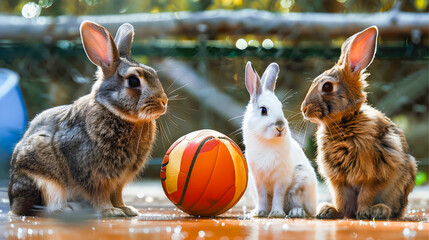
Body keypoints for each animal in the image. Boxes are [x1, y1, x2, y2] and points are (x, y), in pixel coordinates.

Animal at [7, 21, 167, 218]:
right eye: (133, 81)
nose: (164, 102)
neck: (113, 111)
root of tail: (13, 202)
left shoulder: (118, 181)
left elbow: (118, 195)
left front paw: (126, 209)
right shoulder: (93, 175)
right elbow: (100, 194)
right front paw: (110, 211)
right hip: (42, 181)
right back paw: (68, 209)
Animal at [242, 61, 316, 218]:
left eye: (281, 107)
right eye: (263, 110)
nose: (280, 126)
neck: (267, 141)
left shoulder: (281, 179)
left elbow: (278, 195)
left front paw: (276, 213)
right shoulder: (258, 180)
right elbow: (262, 196)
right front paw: (259, 213)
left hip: (301, 181)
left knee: (301, 207)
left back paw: (296, 212)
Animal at [300, 25, 414, 219]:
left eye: (327, 87)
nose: (304, 109)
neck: (345, 120)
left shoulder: (373, 175)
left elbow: (366, 194)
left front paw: (364, 213)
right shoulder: (338, 179)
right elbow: (341, 197)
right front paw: (333, 211)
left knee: (395, 210)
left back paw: (380, 210)